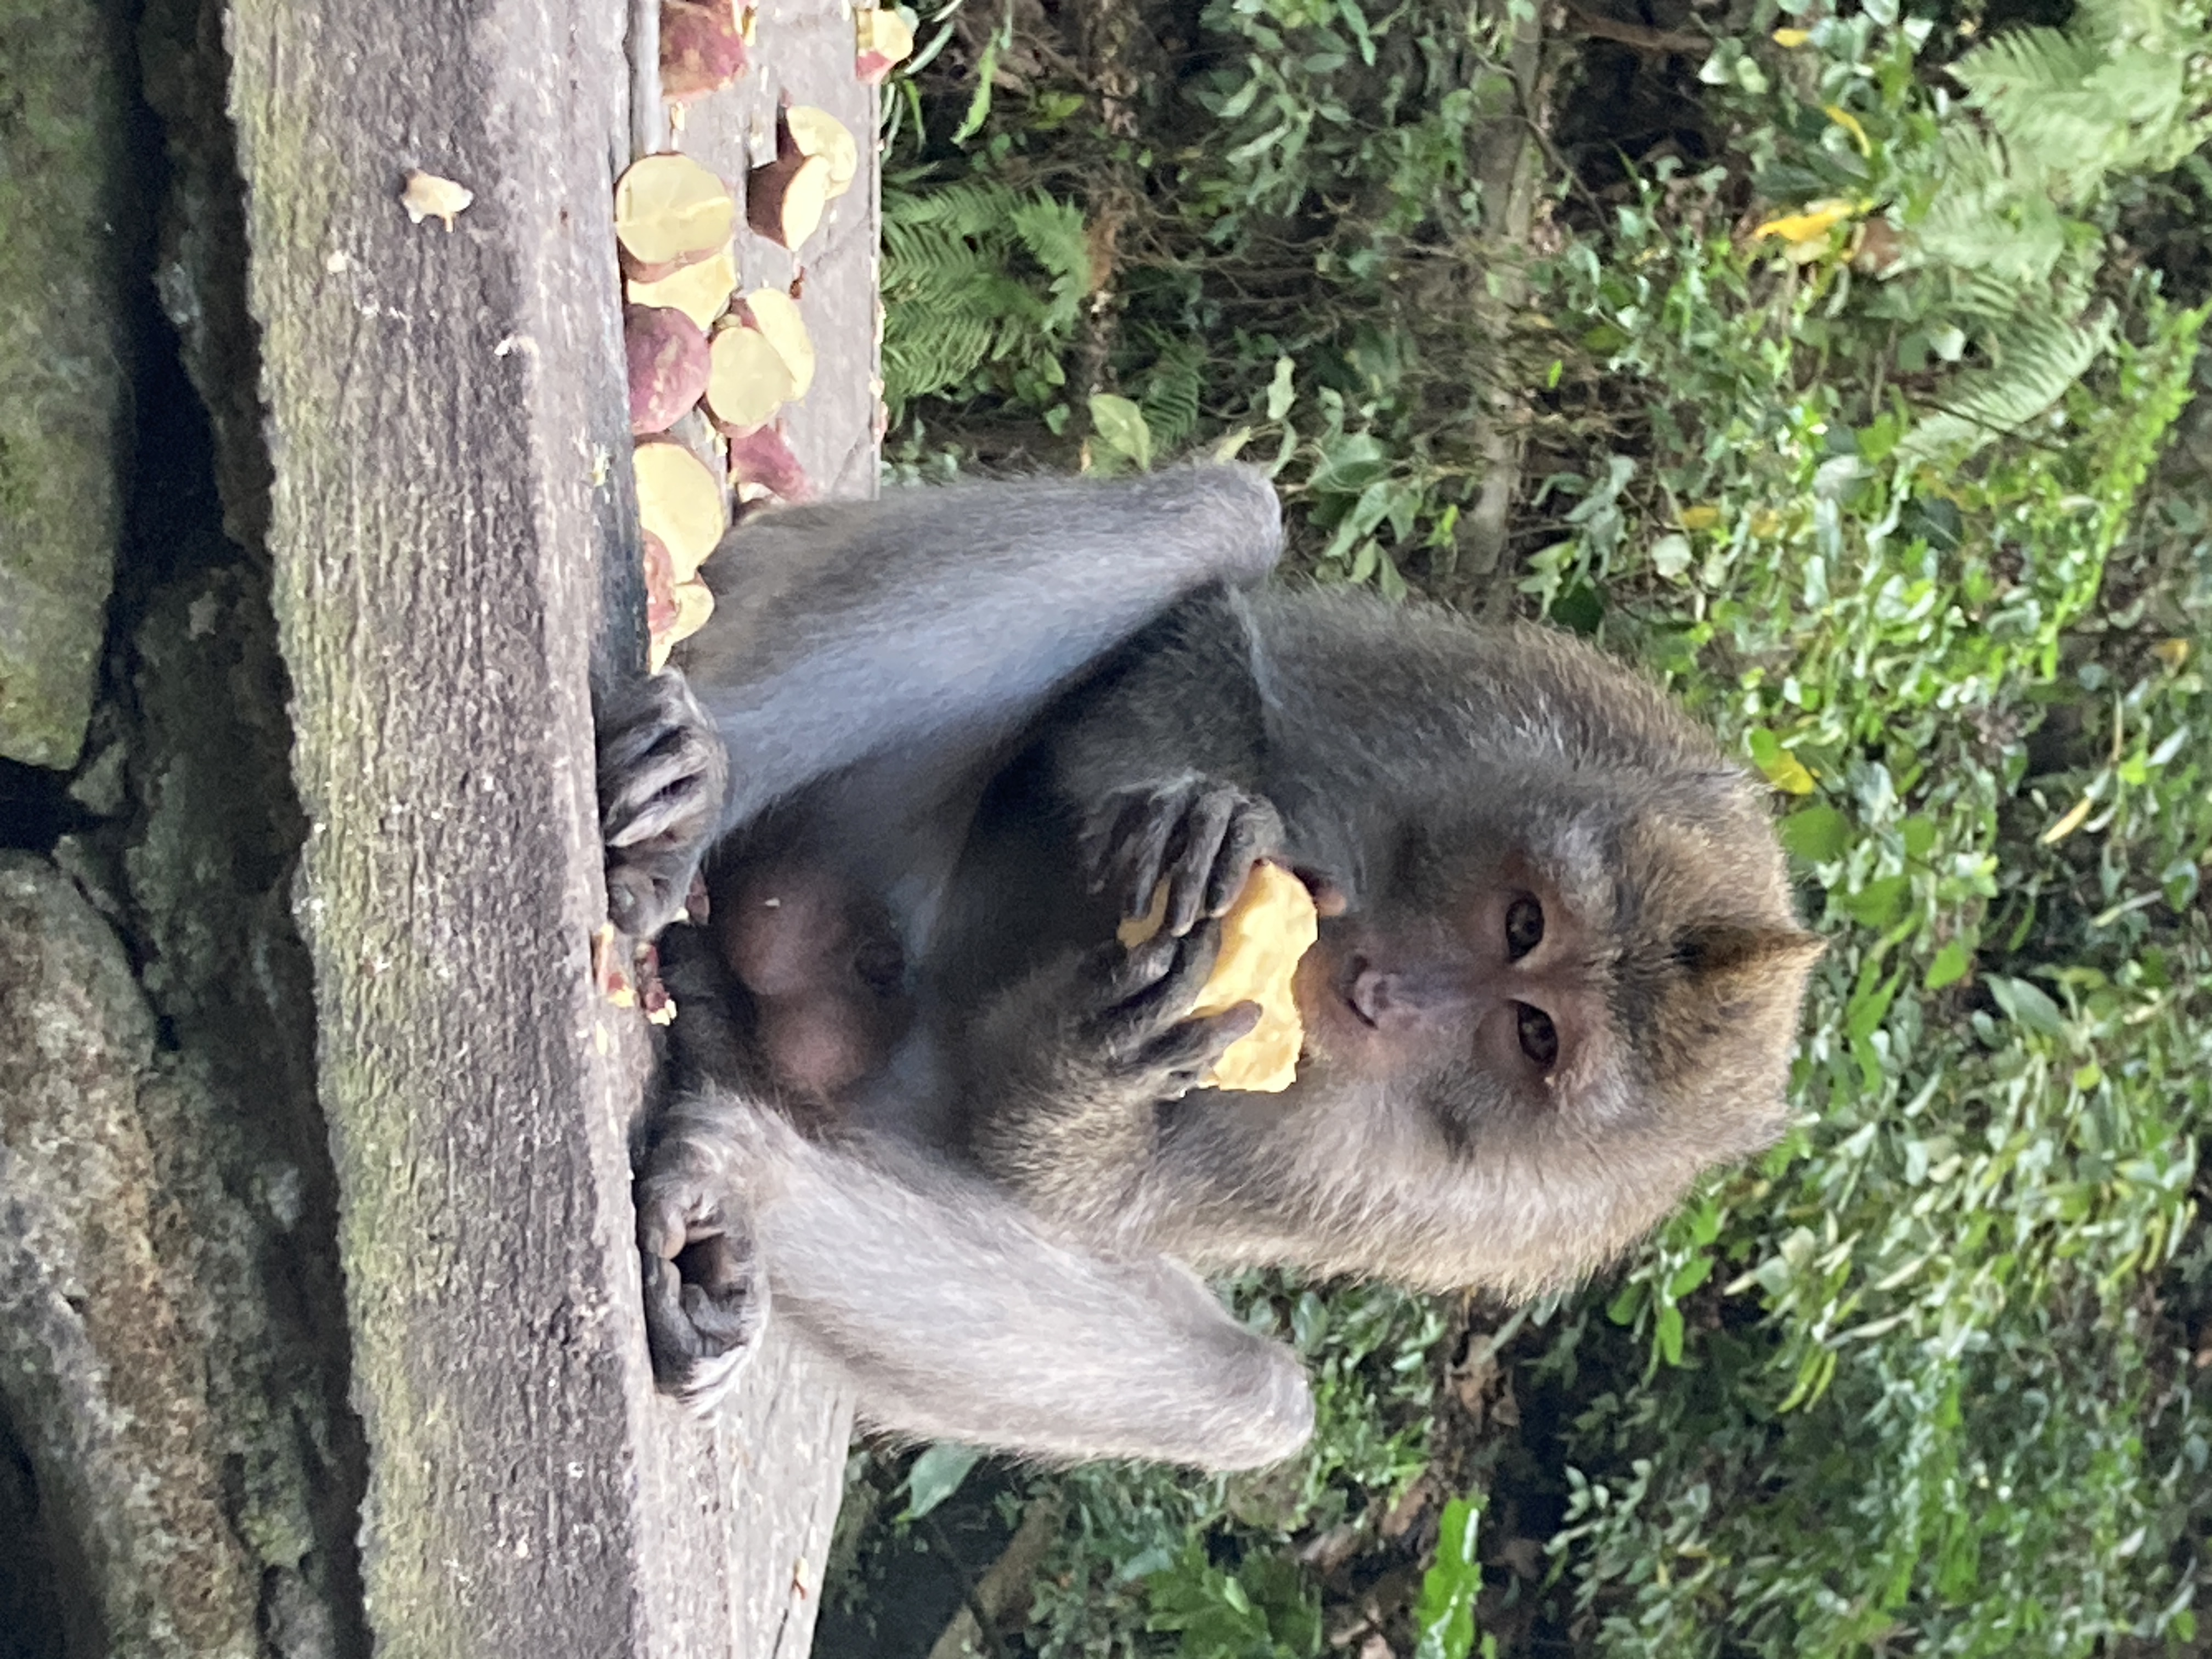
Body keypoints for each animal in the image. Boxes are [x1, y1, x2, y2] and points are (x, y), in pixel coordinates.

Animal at [597, 465, 1819, 1468]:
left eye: (1534, 1035)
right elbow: (1208, 665)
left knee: (1251, 1395)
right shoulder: (1497, 714)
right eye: (1523, 921)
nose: (1382, 990)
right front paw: (1215, 823)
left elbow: (1070, 1190)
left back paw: (739, 1184)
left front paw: (1077, 1072)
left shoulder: (1484, 1199)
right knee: (1219, 516)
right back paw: (705, 786)